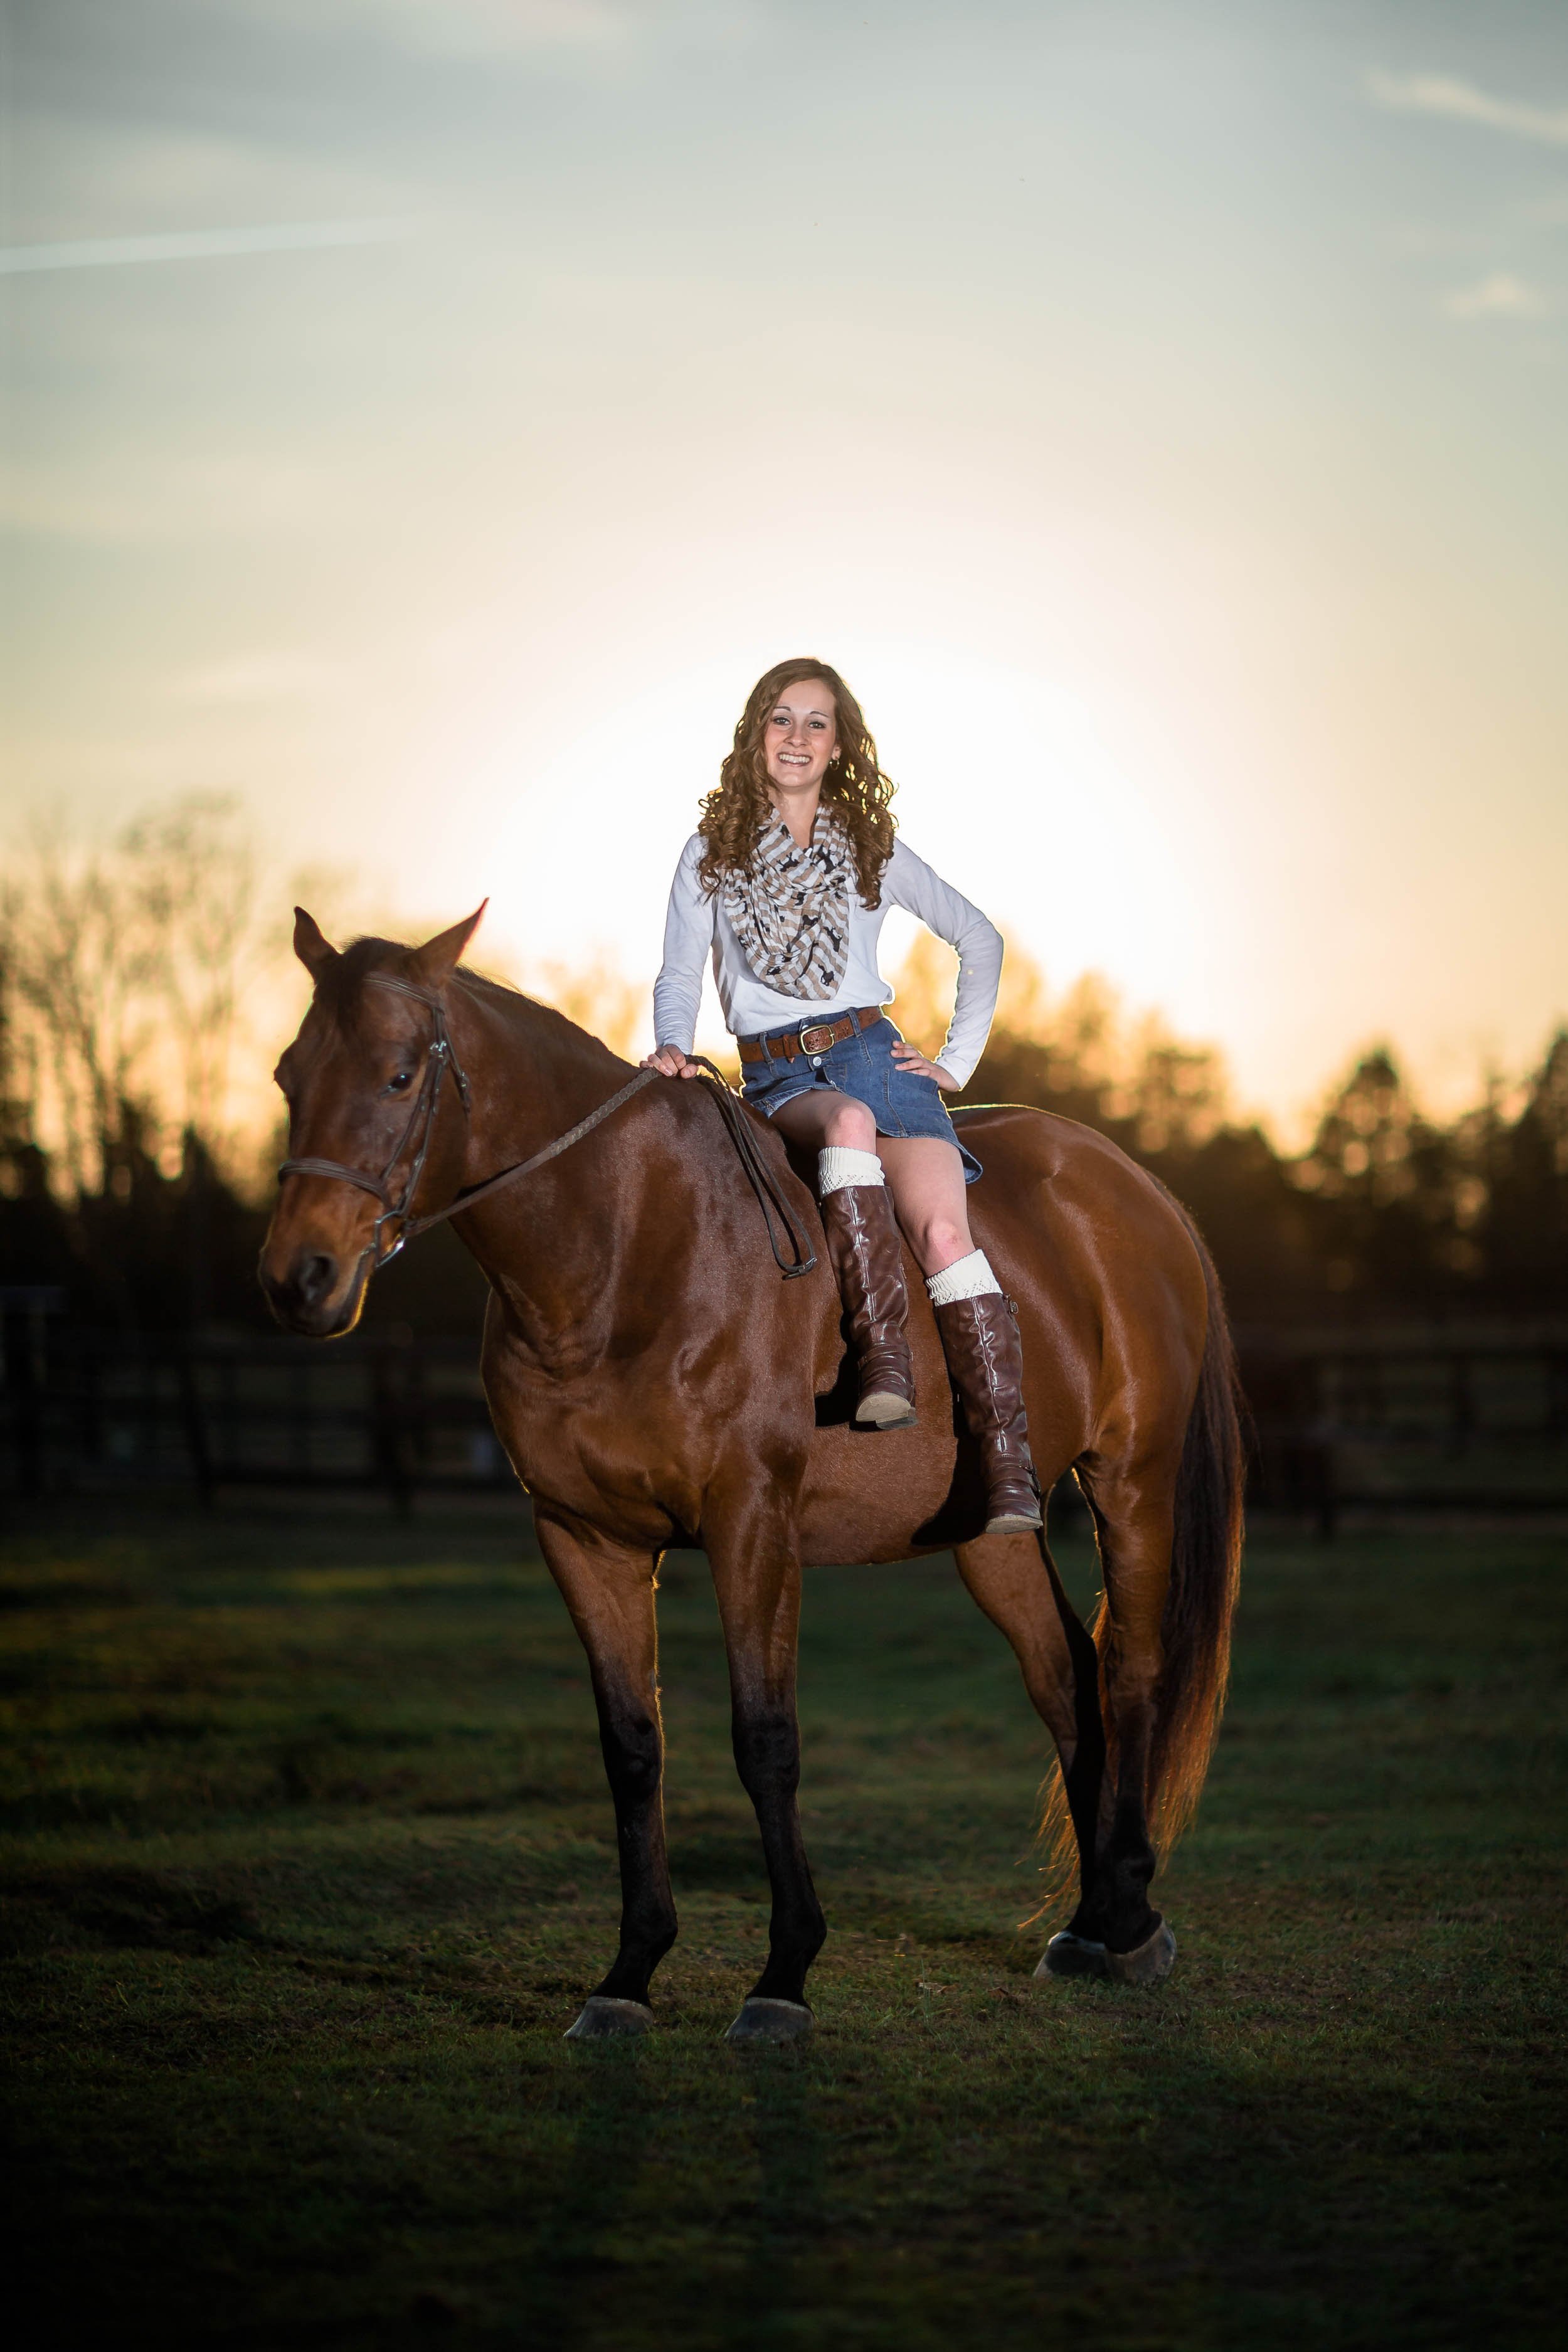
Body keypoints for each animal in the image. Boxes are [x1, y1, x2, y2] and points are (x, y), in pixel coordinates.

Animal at [263, 913, 1241, 2042]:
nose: (299, 1280)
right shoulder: (584, 1539)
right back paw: (1092, 1921)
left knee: (1130, 1673)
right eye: (288, 1074)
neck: (624, 1246)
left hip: (1133, 1481)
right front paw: (630, 1971)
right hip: (993, 1530)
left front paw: (784, 1972)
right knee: (1065, 1681)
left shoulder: (751, 1526)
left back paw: (1131, 1915)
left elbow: (765, 1740)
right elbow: (632, 1747)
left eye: (397, 1074)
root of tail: (1135, 1186)